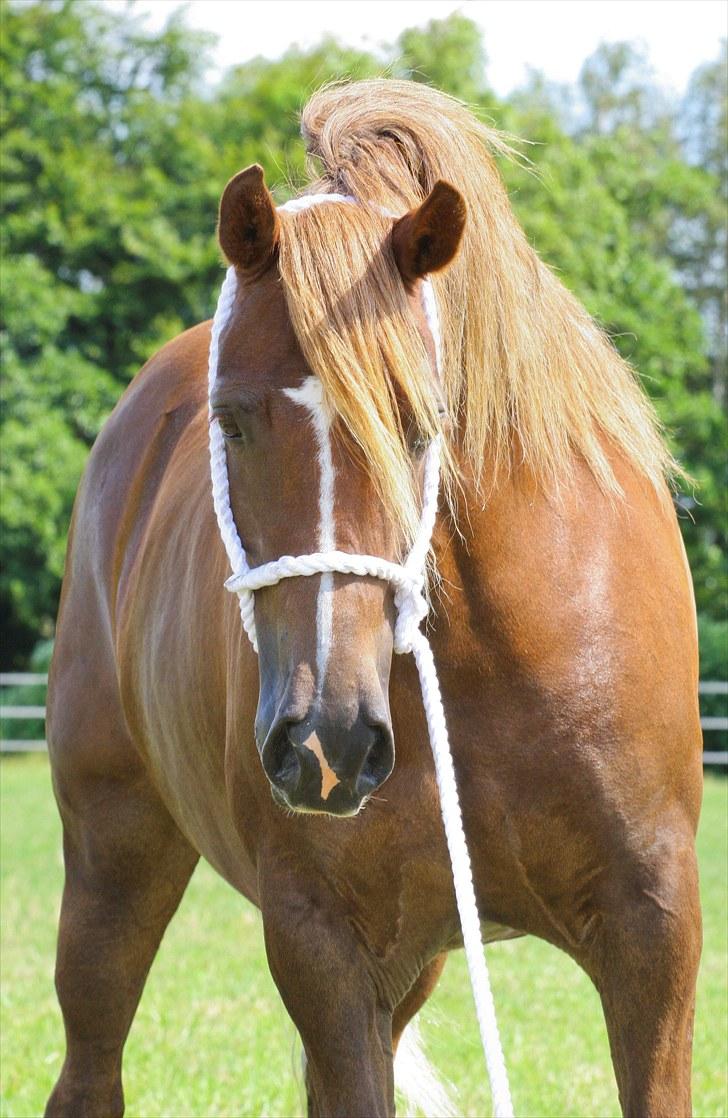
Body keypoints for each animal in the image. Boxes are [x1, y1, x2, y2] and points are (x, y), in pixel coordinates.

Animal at [44, 81, 702, 1118]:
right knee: (89, 1064)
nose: (328, 740)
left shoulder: (654, 936)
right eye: (230, 419)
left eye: (421, 419)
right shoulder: (323, 947)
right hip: (113, 857)